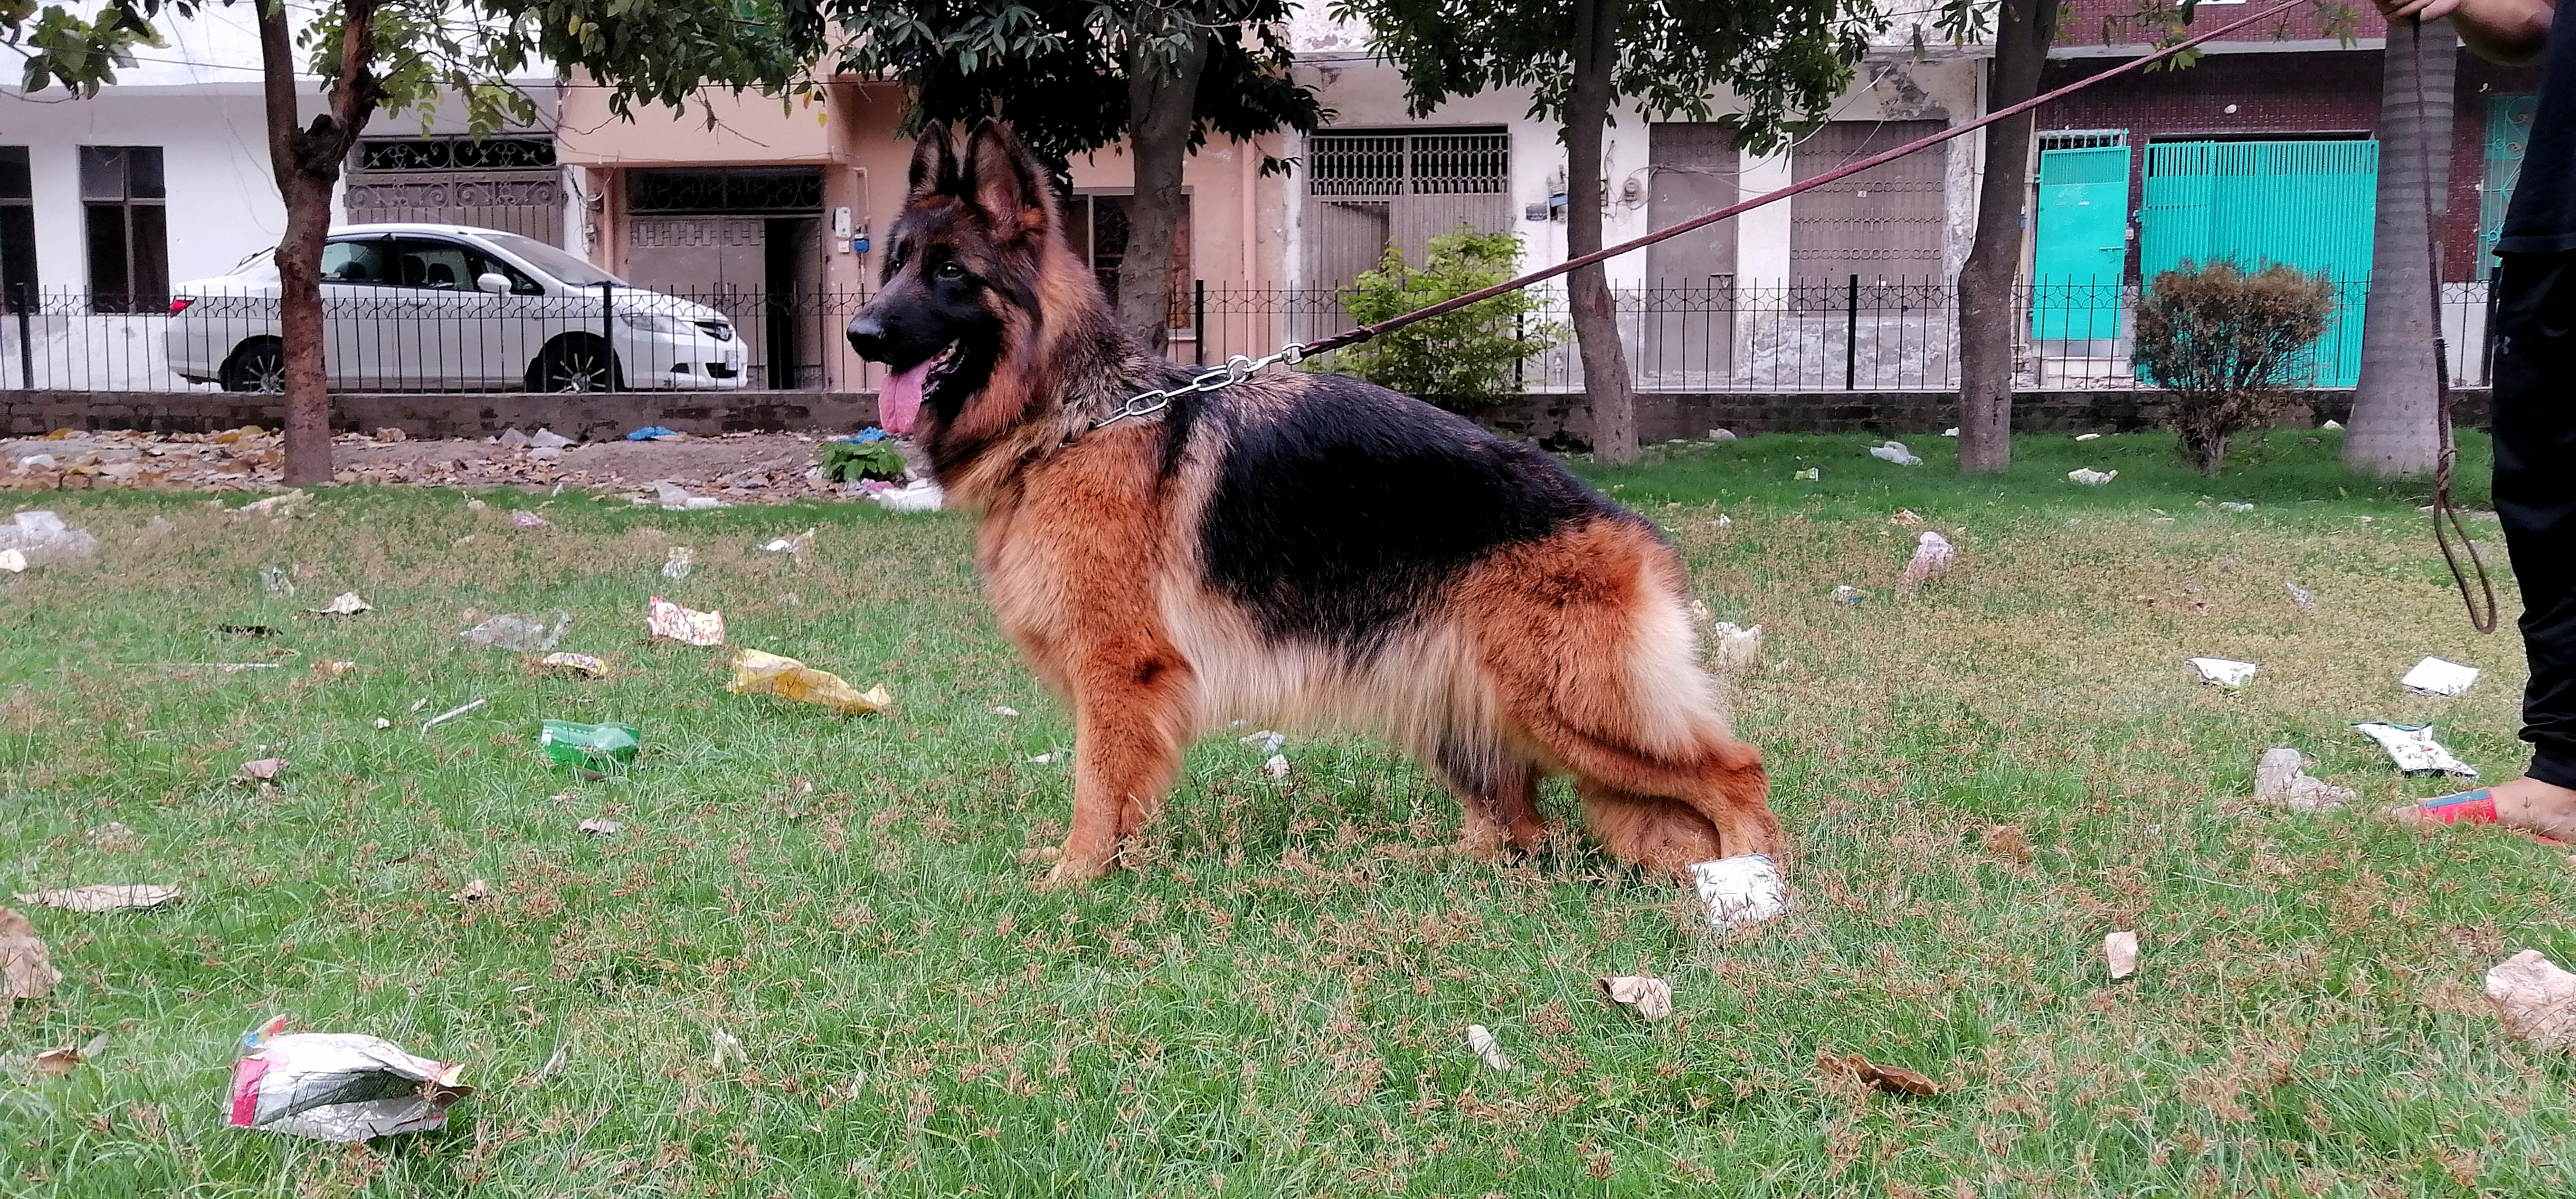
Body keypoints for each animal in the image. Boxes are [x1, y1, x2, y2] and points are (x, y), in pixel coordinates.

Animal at [844, 120, 1780, 886]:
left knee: (1736, 772)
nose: (860, 335)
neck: (1075, 417)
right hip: (1465, 705)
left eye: (950, 272)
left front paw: (1073, 882)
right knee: (1518, 830)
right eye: (892, 267)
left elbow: (1094, 788)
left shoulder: (1118, 672)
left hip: (1567, 708)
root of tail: (1631, 532)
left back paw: (1750, 887)